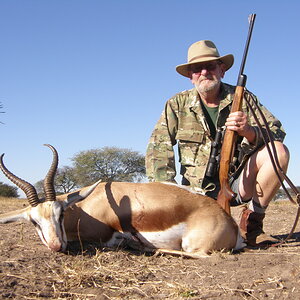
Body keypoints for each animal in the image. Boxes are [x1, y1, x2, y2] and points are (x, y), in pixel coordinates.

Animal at [0, 144, 244, 256]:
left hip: (192, 246)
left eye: (61, 214)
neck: (85, 207)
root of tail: (230, 223)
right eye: (34, 222)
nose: (56, 246)